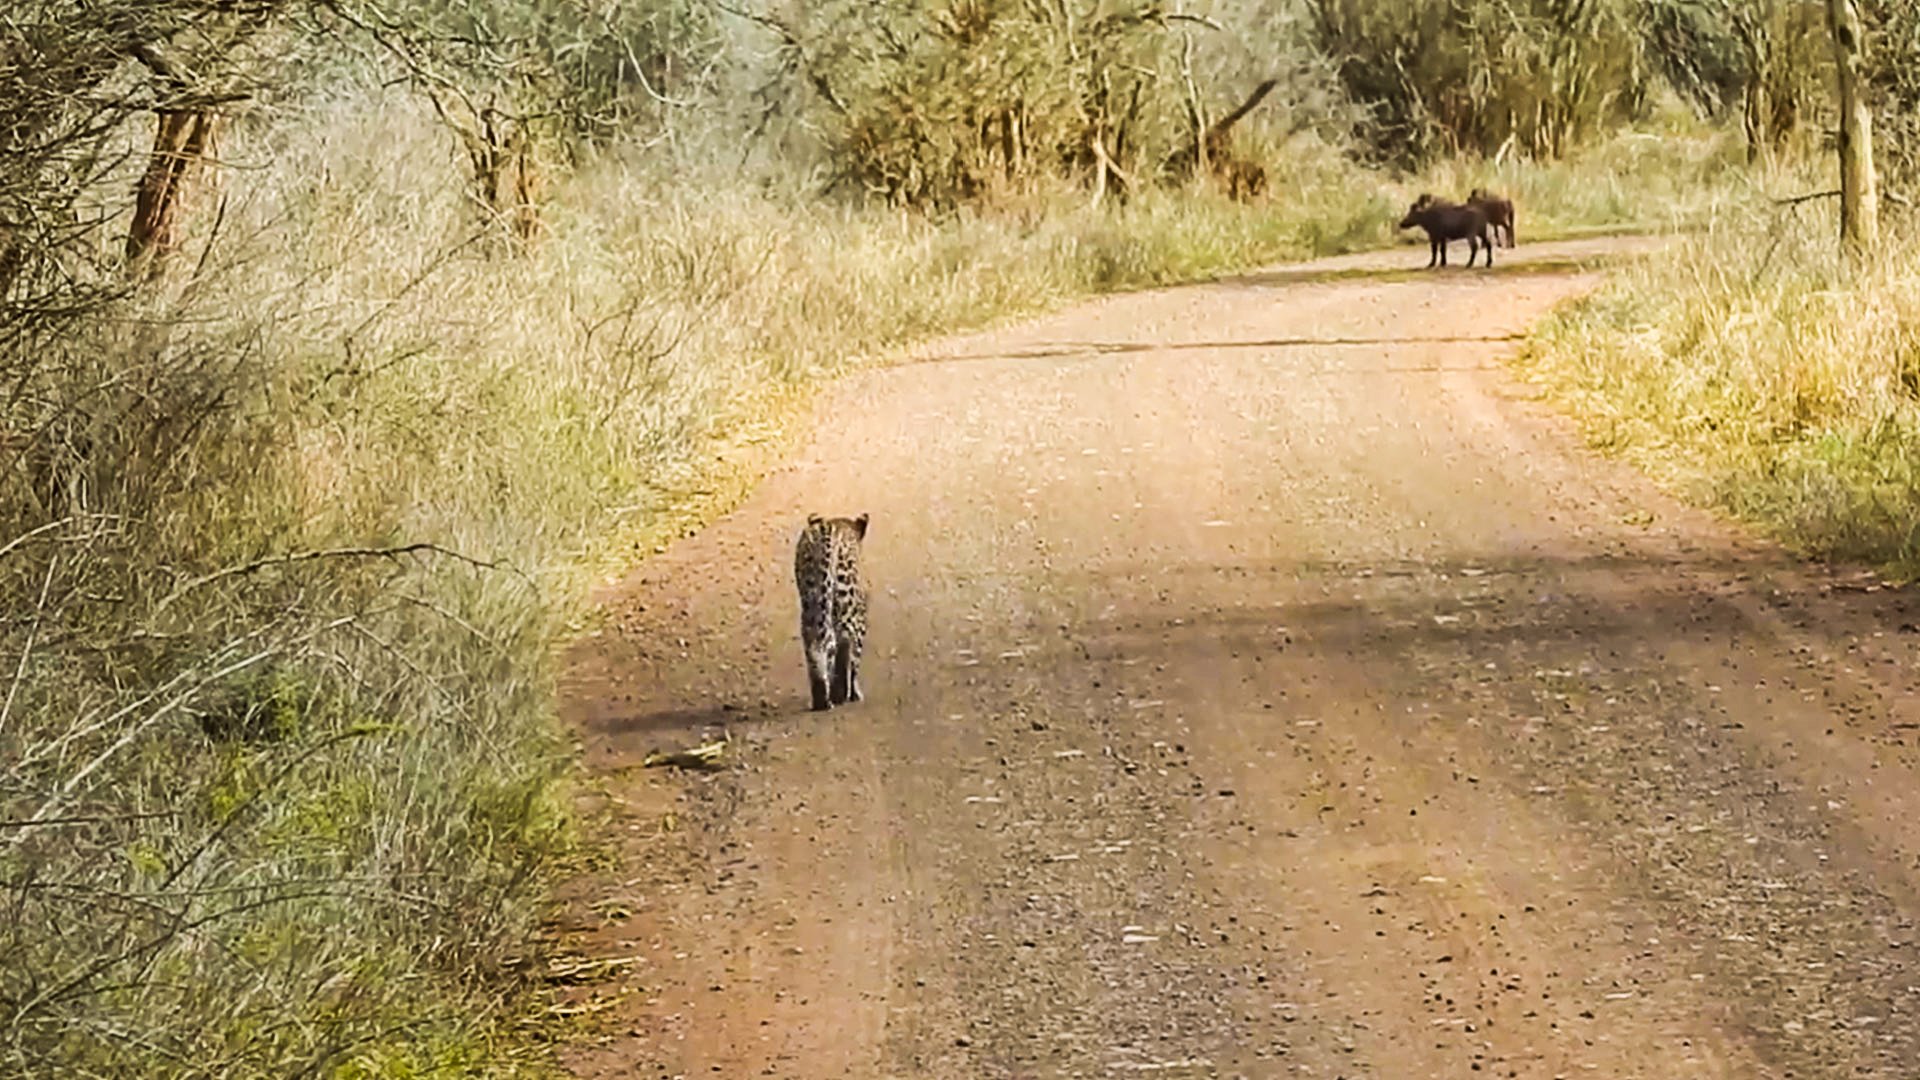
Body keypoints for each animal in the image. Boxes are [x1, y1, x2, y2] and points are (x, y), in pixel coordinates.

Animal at [794, 512, 870, 711]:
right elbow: (854, 660)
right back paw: (839, 695)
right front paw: (855, 694)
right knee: (844, 641)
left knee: (814, 643)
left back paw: (821, 700)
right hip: (846, 602)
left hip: (811, 603)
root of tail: (827, 528)